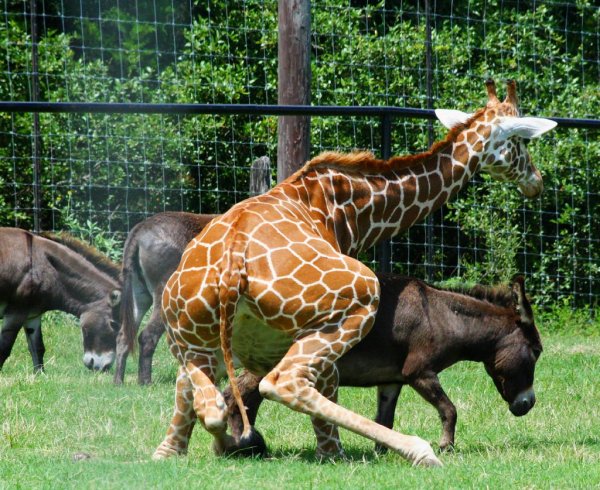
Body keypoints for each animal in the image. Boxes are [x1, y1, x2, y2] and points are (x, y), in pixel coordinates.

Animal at [152, 78, 556, 466]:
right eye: (521, 141)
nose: (536, 181)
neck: (356, 208)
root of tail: (233, 269)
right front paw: (332, 451)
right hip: (356, 300)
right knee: (282, 383)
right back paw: (405, 450)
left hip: (191, 334)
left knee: (203, 401)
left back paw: (196, 448)